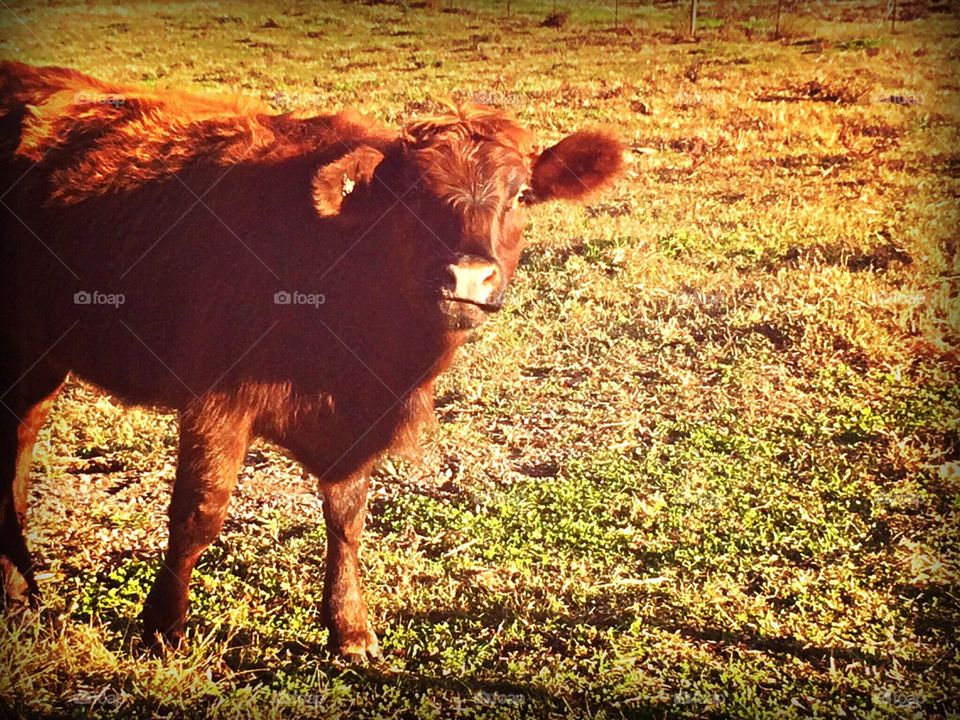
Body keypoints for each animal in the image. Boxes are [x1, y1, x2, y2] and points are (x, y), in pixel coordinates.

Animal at [0, 61, 623, 661]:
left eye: (520, 195)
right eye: (412, 196)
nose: (467, 276)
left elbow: (347, 517)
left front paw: (349, 629)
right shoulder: (217, 401)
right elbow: (199, 512)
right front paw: (163, 628)